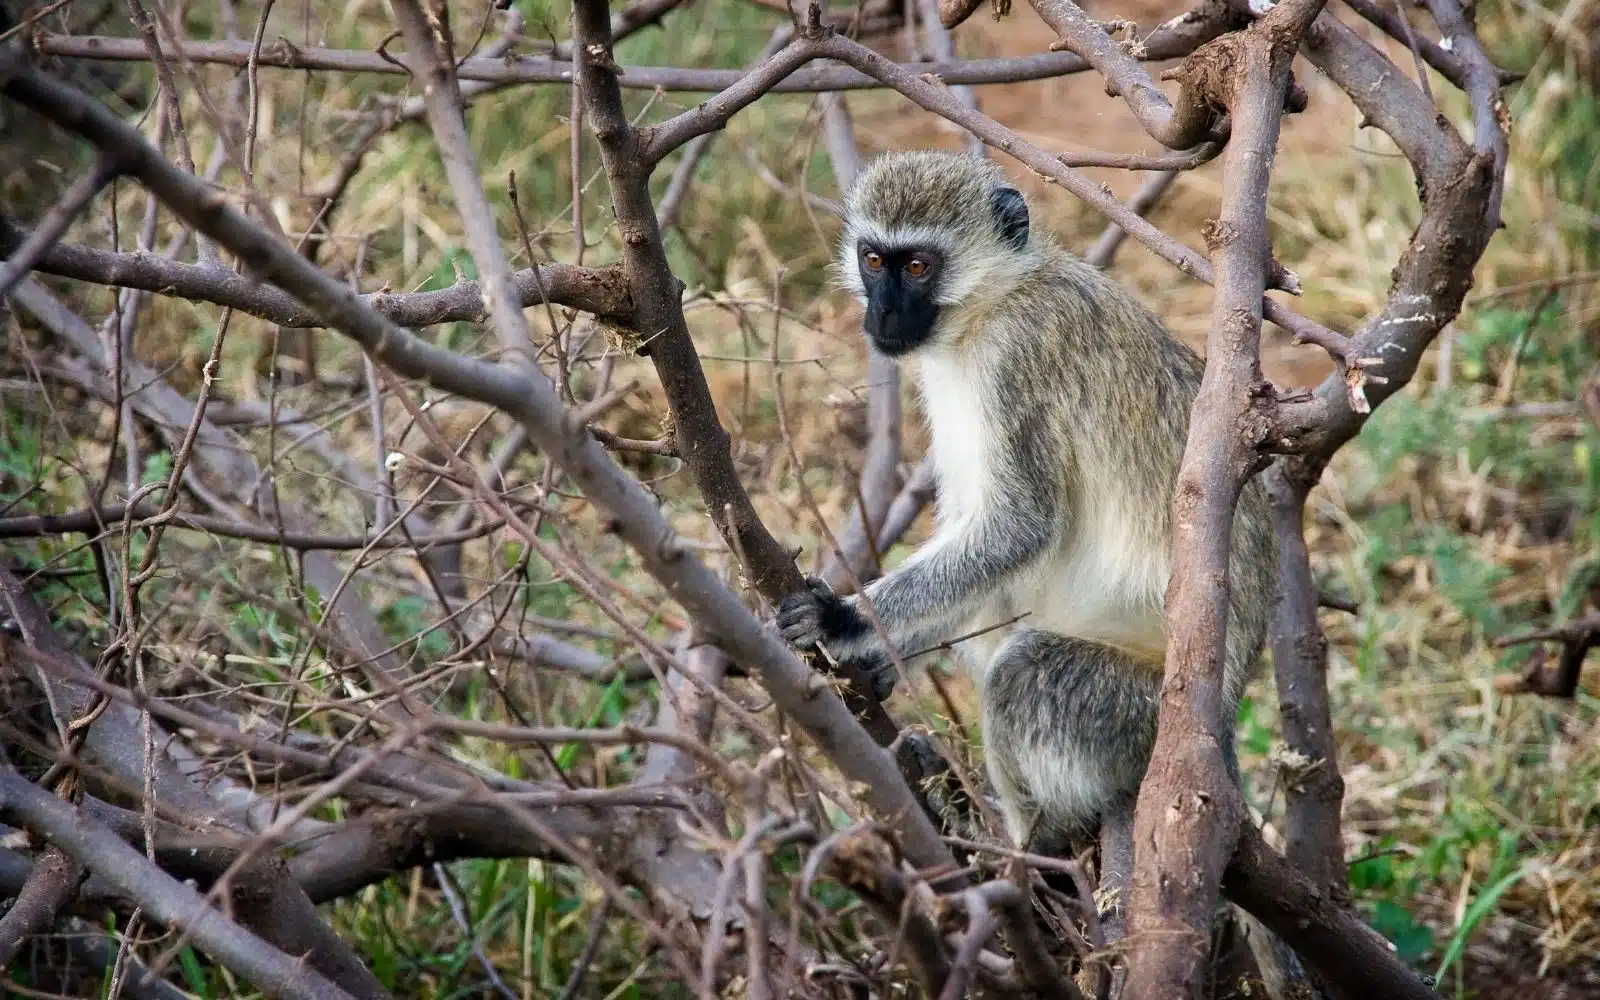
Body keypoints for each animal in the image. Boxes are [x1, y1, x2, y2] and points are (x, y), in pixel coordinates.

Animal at [775, 149, 1278, 859]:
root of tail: (1221, 721)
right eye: (874, 259)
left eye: (919, 266)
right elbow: (973, 527)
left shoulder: (1018, 359)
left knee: (1023, 670)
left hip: (1135, 716)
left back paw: (1024, 843)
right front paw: (876, 655)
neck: (992, 303)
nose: (884, 315)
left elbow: (1019, 528)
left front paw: (840, 619)